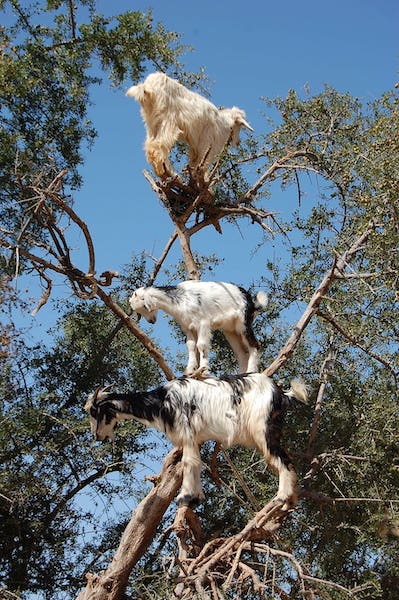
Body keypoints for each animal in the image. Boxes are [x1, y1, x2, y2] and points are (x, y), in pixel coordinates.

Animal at [86, 376, 308, 506]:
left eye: (94, 411)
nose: (97, 436)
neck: (161, 401)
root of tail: (281, 393)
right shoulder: (195, 438)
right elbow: (196, 463)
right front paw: (197, 496)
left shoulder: (187, 433)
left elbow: (187, 463)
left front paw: (184, 497)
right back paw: (291, 498)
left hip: (263, 430)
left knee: (283, 459)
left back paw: (281, 497)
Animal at [131, 282, 268, 376]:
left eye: (144, 306)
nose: (151, 321)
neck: (181, 299)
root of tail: (251, 301)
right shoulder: (188, 327)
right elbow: (191, 346)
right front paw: (190, 370)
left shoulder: (203, 323)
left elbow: (201, 345)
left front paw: (204, 370)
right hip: (231, 331)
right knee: (241, 353)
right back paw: (241, 374)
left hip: (243, 324)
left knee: (255, 344)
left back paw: (251, 371)